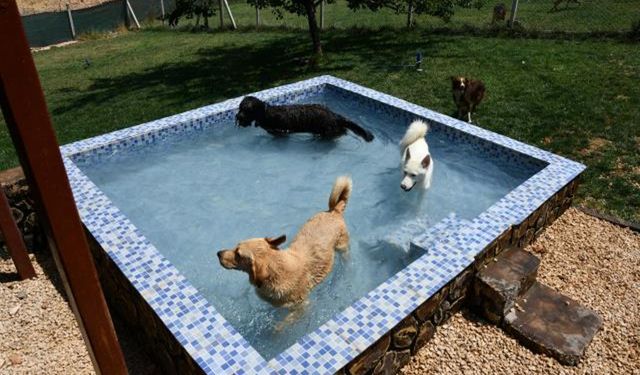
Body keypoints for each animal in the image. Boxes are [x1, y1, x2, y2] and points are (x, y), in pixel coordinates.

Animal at [218, 176, 352, 308]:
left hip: (342, 247)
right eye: (236, 247)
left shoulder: (300, 305)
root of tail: (333, 211)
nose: (218, 253)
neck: (275, 270)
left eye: (238, 254)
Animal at [236, 97, 376, 142]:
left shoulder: (281, 131)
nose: (237, 117)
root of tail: (335, 116)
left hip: (328, 130)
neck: (265, 113)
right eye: (239, 108)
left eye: (245, 110)